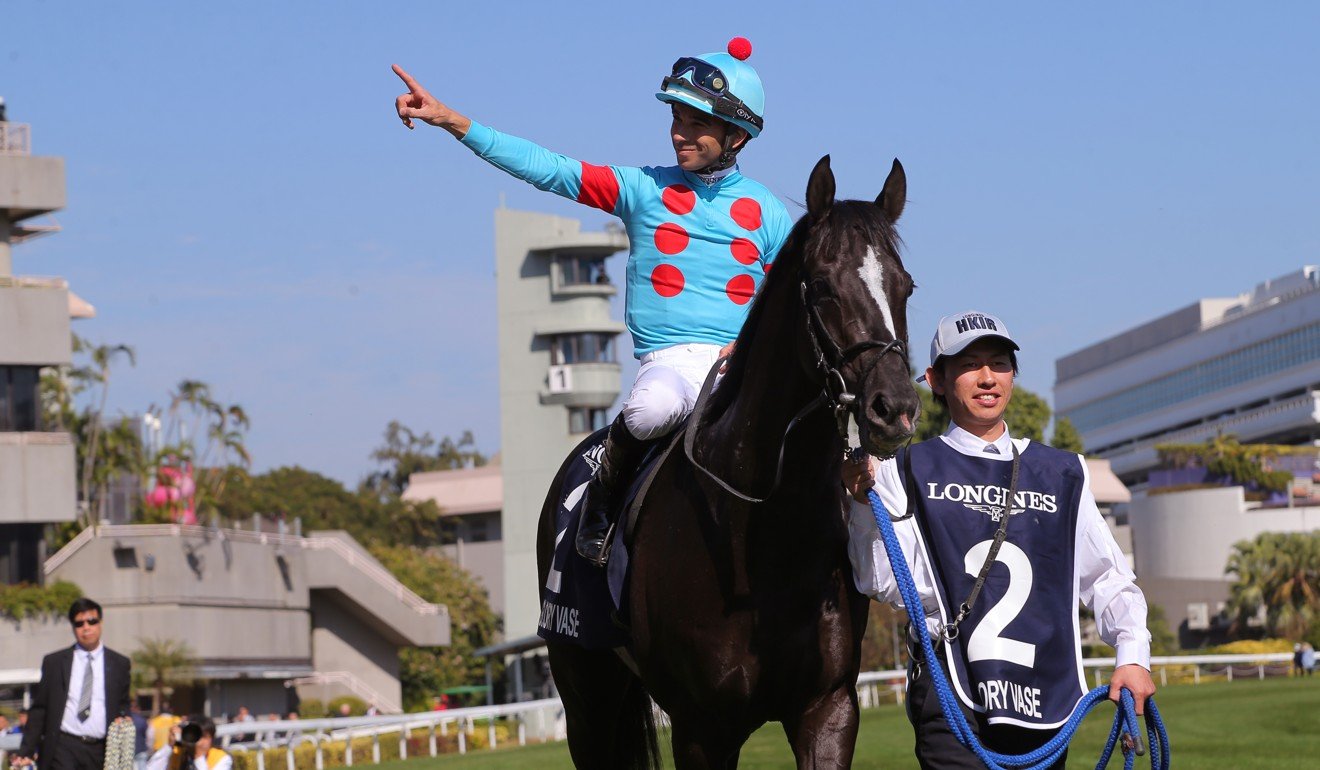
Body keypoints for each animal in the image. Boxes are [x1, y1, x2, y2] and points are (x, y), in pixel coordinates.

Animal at [533, 156, 918, 770]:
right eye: (823, 287)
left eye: (905, 286)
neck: (767, 531)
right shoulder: (701, 729)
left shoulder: (828, 707)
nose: (896, 408)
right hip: (585, 694)